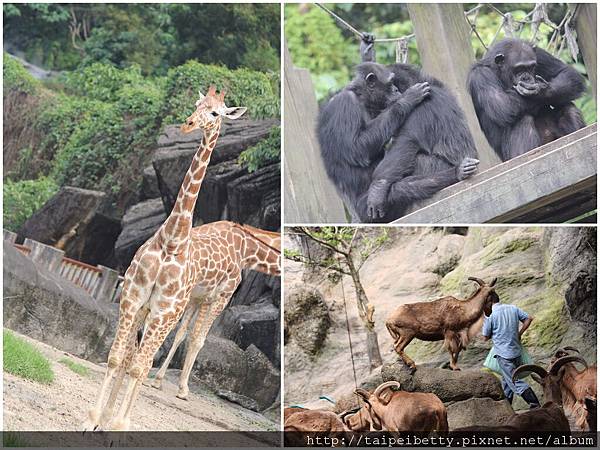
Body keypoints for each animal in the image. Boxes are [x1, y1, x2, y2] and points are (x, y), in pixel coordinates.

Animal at [82, 85, 246, 432]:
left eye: (216, 112)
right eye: (197, 103)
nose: (187, 125)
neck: (172, 239)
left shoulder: (162, 311)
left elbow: (137, 367)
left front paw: (119, 425)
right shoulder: (132, 299)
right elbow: (117, 358)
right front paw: (94, 420)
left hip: (177, 312)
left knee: (152, 358)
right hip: (150, 312)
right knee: (133, 356)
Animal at [149, 220, 282, 400]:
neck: (247, 250)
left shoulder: (198, 298)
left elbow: (182, 334)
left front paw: (159, 380)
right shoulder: (218, 297)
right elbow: (197, 339)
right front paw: (183, 388)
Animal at [318, 34, 478, 221]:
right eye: (390, 83)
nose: (395, 90)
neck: (361, 98)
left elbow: (405, 143)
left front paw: (367, 52)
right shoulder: (344, 105)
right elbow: (357, 148)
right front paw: (407, 99)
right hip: (365, 212)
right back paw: (457, 172)